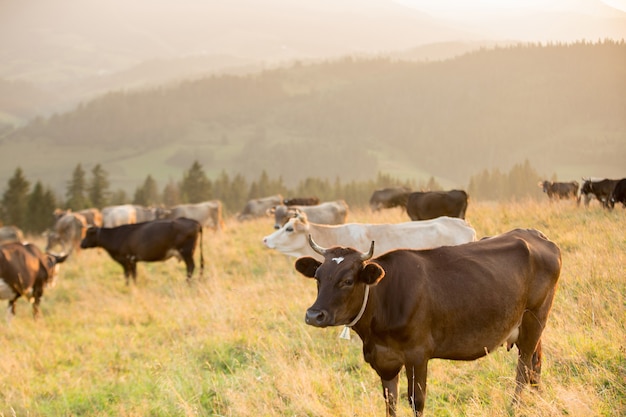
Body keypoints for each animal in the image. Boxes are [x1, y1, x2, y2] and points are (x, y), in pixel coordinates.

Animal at [294, 229, 560, 414]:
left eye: (348, 280)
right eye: (318, 277)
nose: (314, 315)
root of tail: (535, 235)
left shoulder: (417, 355)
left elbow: (416, 401)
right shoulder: (383, 359)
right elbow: (390, 402)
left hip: (535, 319)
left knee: (523, 369)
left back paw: (514, 407)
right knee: (536, 364)